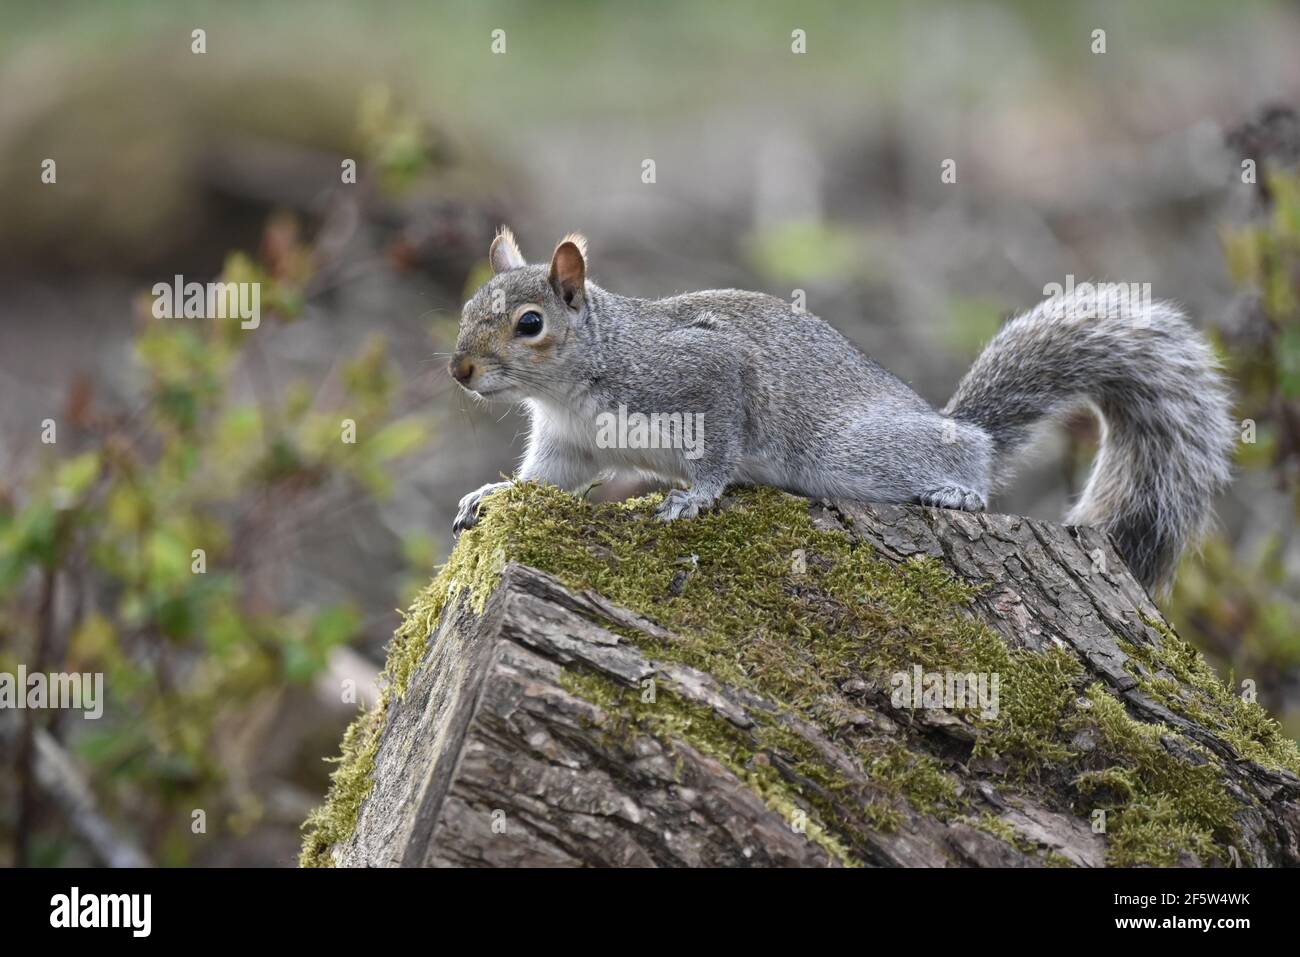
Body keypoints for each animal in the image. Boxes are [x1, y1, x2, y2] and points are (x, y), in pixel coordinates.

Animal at [452, 230, 1232, 590]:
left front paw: (694, 497)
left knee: (963, 459)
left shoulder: (703, 372)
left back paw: (957, 489)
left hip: (855, 451)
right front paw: (488, 493)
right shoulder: (571, 443)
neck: (576, 381)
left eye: (529, 324)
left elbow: (719, 443)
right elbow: (544, 479)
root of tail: (960, 423)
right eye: (465, 311)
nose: (459, 370)